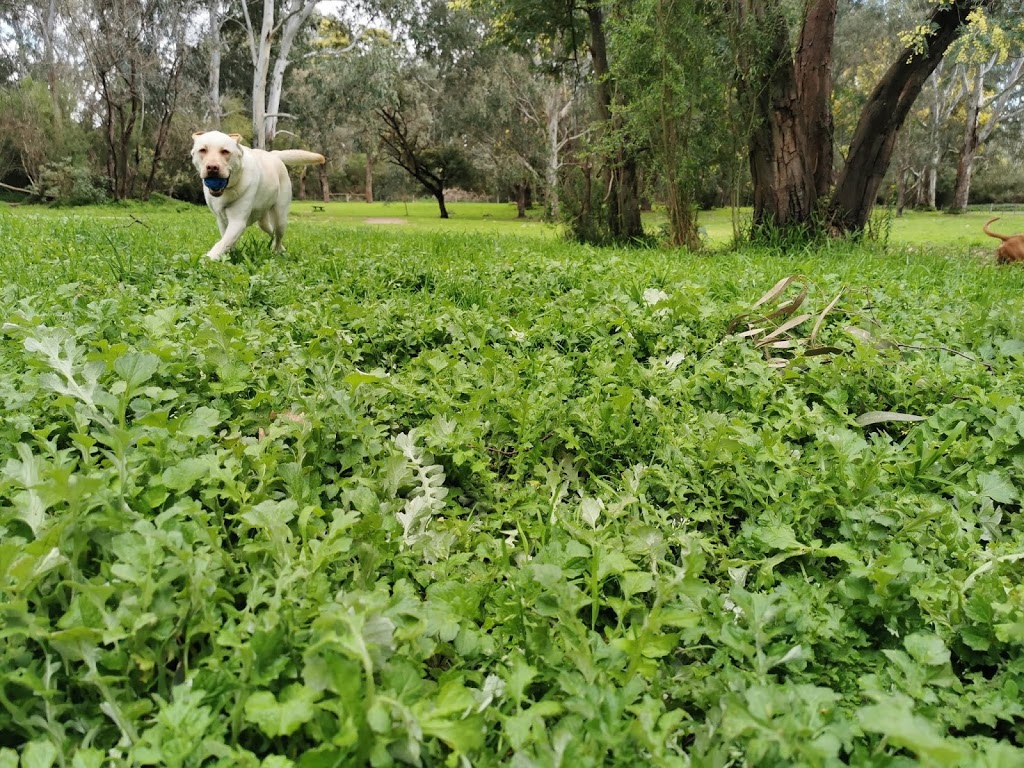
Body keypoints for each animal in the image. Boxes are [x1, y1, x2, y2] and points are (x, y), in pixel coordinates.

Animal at [189, 132, 323, 262]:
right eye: (202, 150)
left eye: (225, 151)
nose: (212, 167)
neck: (229, 189)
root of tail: (273, 154)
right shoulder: (221, 221)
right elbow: (226, 242)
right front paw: (228, 255)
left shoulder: (237, 222)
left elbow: (221, 243)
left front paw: (208, 259)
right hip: (263, 222)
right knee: (272, 233)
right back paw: (280, 248)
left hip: (280, 218)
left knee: (278, 236)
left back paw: (277, 252)